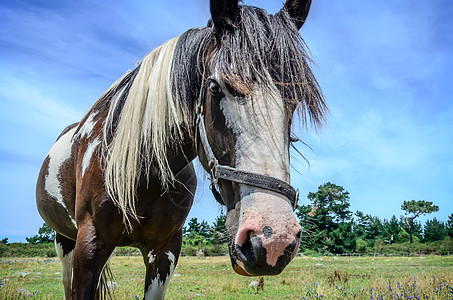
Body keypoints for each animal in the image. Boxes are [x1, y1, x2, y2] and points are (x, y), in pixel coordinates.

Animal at [35, 0, 324, 298]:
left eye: (296, 99)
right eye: (215, 87)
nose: (273, 240)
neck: (142, 171)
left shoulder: (166, 250)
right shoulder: (89, 244)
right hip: (65, 241)